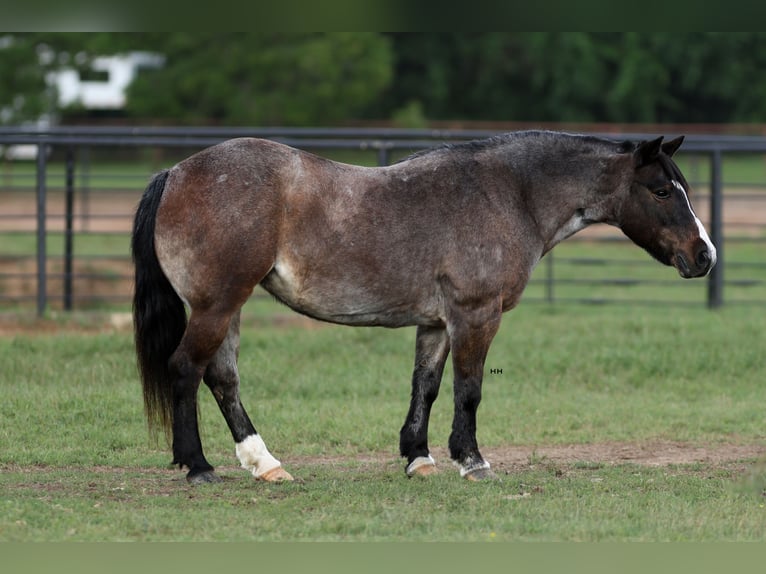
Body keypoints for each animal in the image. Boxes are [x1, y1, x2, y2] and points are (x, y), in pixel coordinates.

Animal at [134, 132, 720, 486]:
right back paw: (198, 466)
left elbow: (428, 386)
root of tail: (176, 172)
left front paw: (419, 457)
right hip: (217, 305)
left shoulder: (437, 323)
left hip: (228, 307)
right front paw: (473, 461)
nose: (705, 256)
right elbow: (469, 389)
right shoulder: (475, 316)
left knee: (223, 379)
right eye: (663, 190)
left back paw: (266, 465)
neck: (510, 194)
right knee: (187, 369)